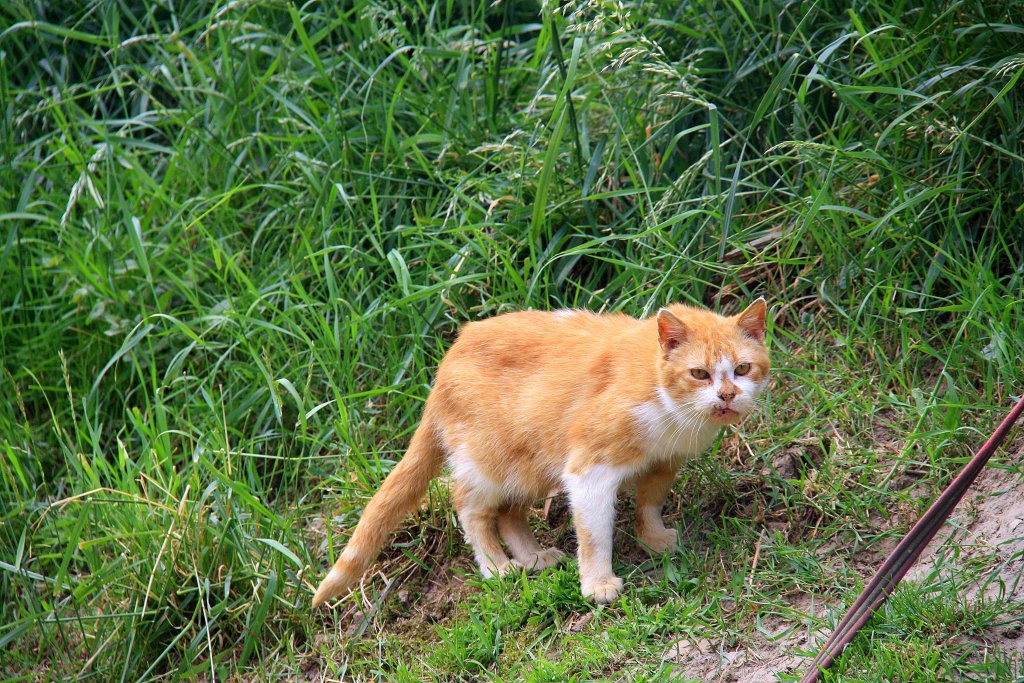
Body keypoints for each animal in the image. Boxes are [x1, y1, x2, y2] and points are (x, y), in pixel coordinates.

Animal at [311, 296, 770, 602]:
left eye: (743, 369)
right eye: (699, 374)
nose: (727, 396)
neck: (670, 408)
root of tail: (446, 362)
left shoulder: (663, 463)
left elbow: (649, 504)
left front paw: (653, 539)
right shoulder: (588, 469)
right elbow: (594, 535)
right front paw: (598, 584)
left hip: (531, 465)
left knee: (509, 514)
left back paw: (533, 557)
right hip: (491, 462)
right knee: (470, 508)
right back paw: (497, 567)